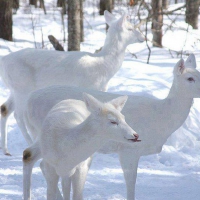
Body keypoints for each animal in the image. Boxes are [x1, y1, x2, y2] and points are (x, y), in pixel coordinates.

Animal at [0, 10, 145, 155]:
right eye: (130, 28)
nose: (143, 37)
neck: (104, 66)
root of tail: (4, 60)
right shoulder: (88, 85)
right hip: (22, 87)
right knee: (18, 115)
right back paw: (29, 143)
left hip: (14, 88)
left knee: (5, 109)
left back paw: (6, 150)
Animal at [22, 54, 200, 199]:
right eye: (190, 78)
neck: (162, 118)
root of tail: (28, 101)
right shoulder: (129, 150)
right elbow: (131, 183)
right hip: (41, 132)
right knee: (39, 161)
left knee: (34, 157)